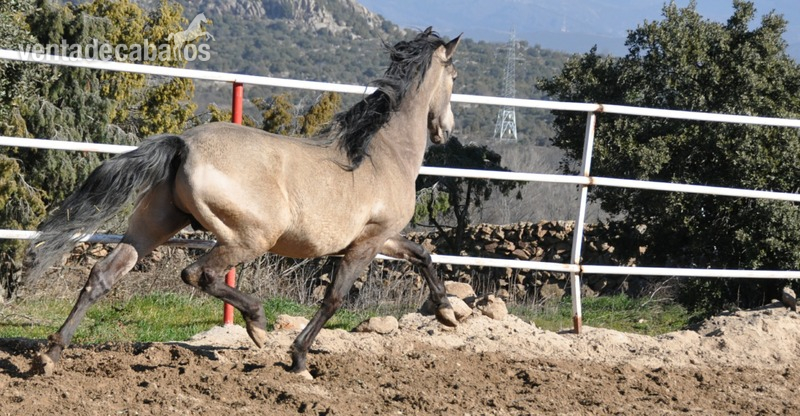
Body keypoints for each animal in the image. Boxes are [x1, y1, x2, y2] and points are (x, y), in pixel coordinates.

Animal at [26, 27, 462, 379]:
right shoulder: (367, 242)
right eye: (454, 76)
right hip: (249, 238)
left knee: (104, 274)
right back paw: (257, 323)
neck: (381, 153)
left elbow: (423, 255)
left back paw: (50, 356)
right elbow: (334, 298)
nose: (446, 130)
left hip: (155, 224)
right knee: (198, 274)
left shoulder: (385, 237)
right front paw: (299, 360)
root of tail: (184, 144)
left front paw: (447, 313)